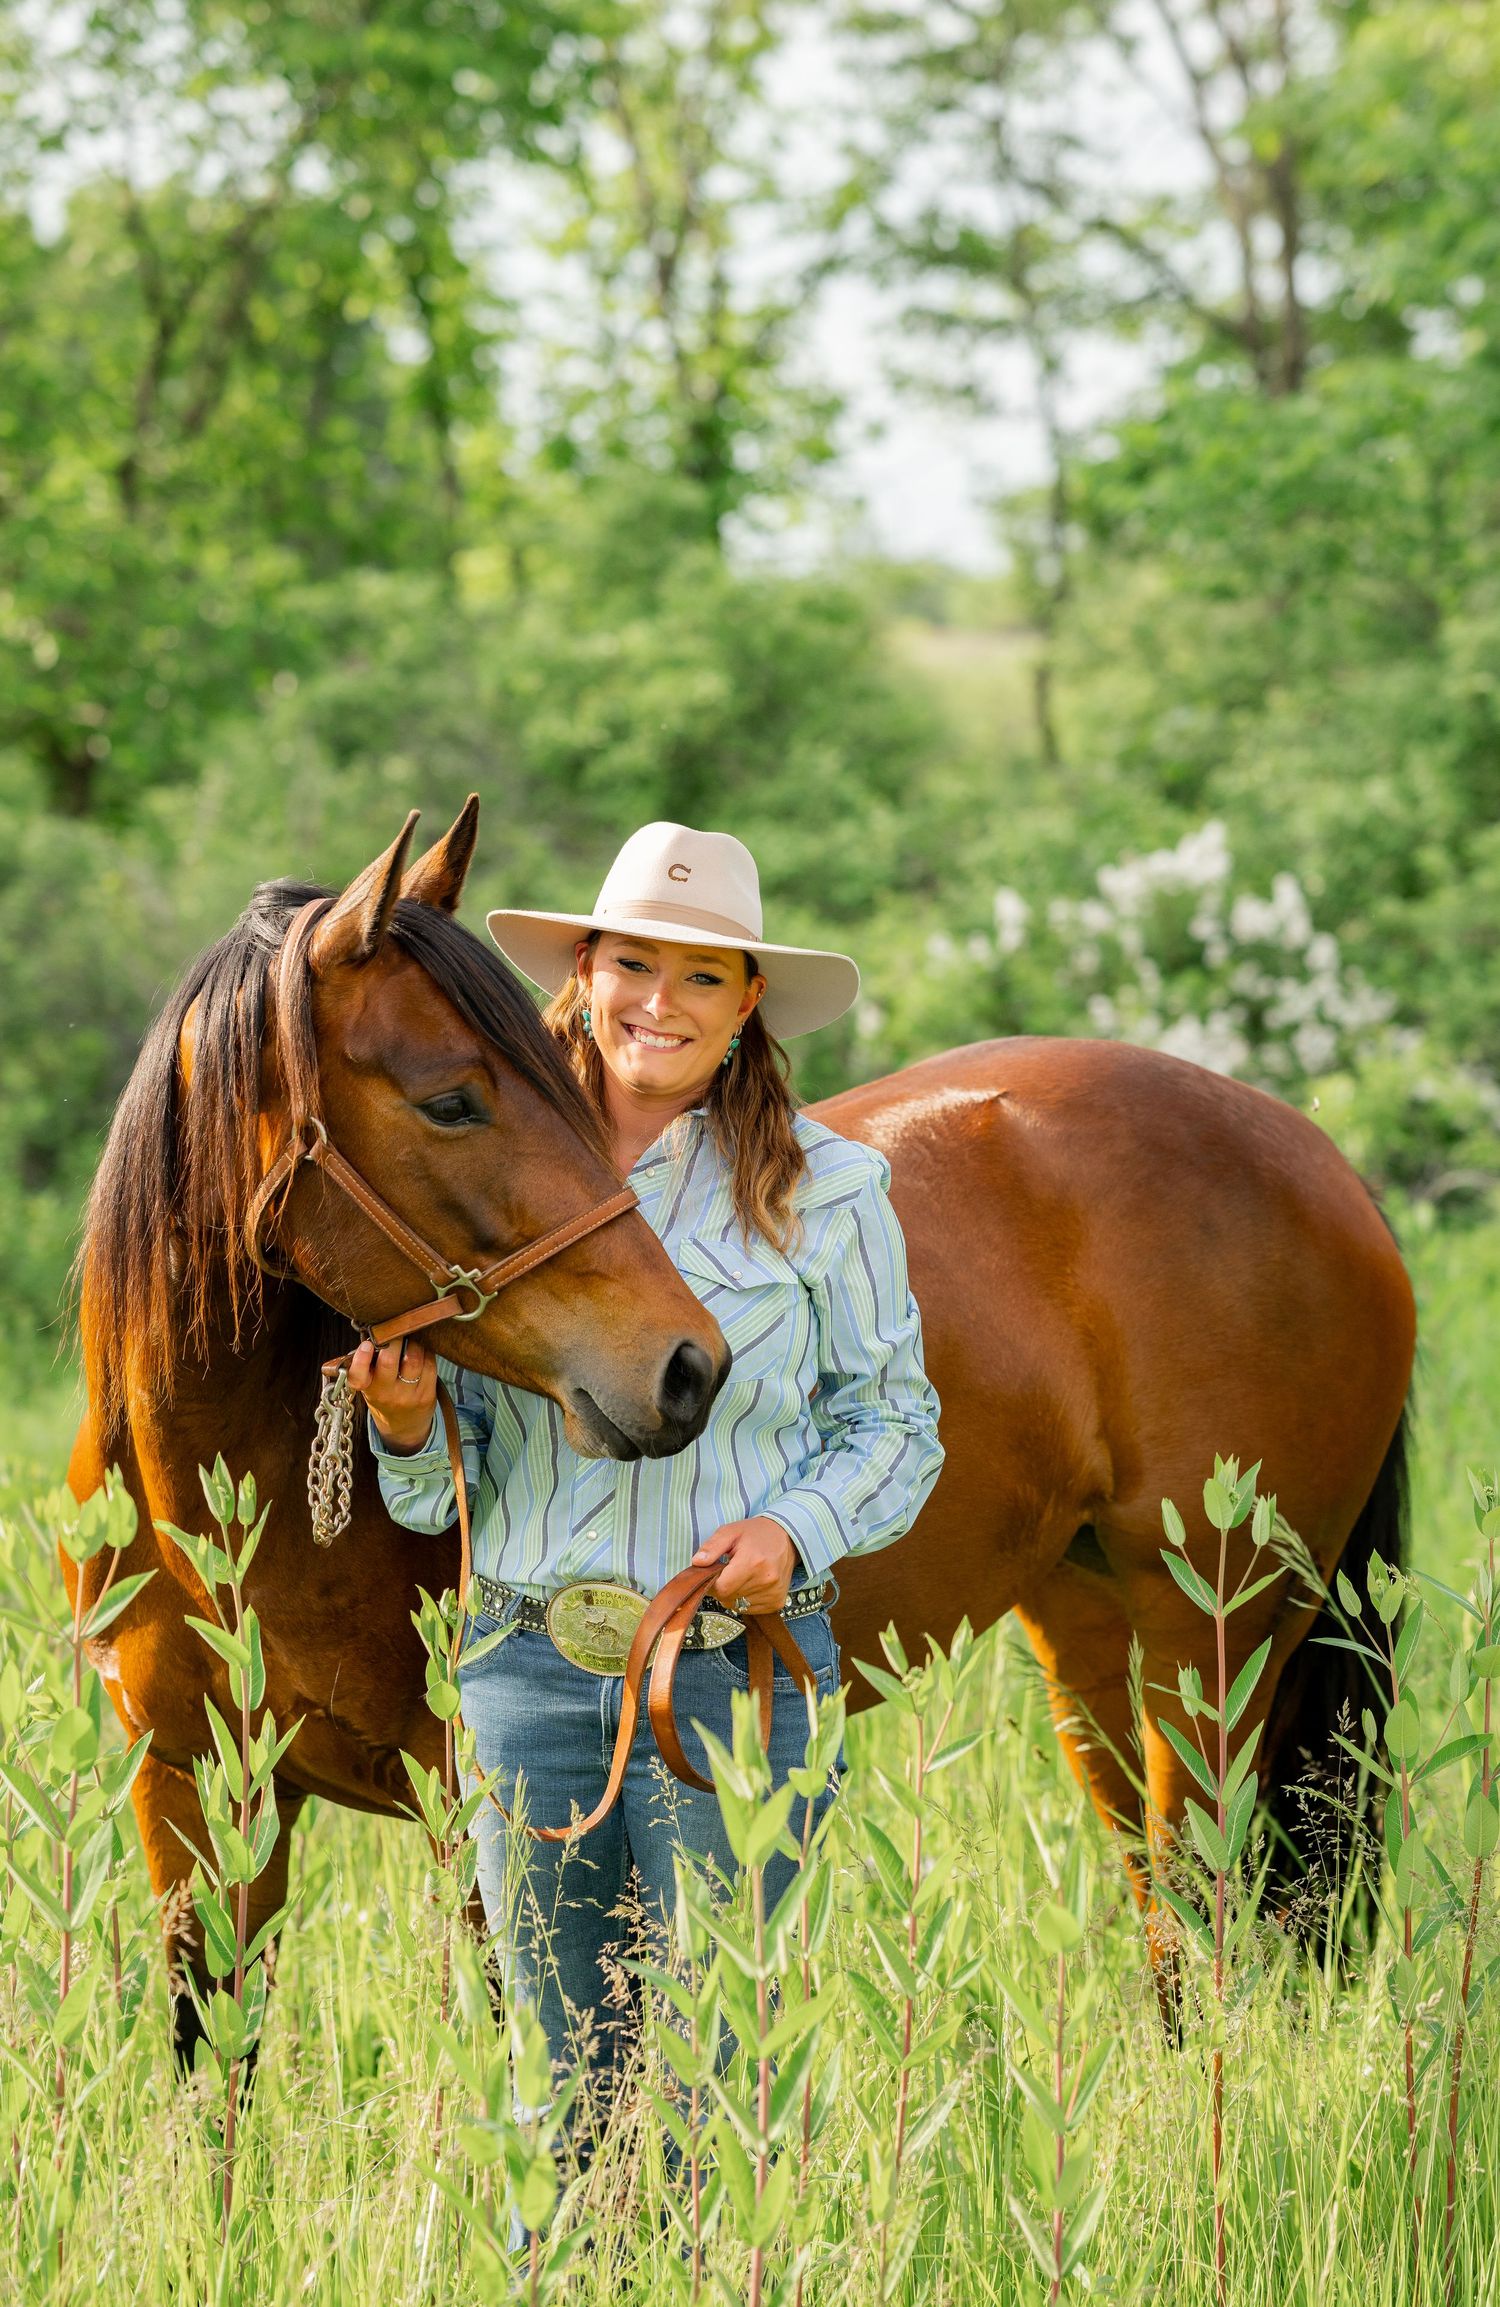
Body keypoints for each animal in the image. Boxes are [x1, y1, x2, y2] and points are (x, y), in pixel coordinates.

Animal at [67, 806, 1414, 2042]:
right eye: (452, 1102)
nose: (684, 1370)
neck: (228, 1508)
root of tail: (1322, 1161)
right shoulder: (192, 1801)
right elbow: (209, 2056)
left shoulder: (481, 1810)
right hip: (1088, 1631)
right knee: (1163, 1901)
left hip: (1215, 1649)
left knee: (1214, 1900)